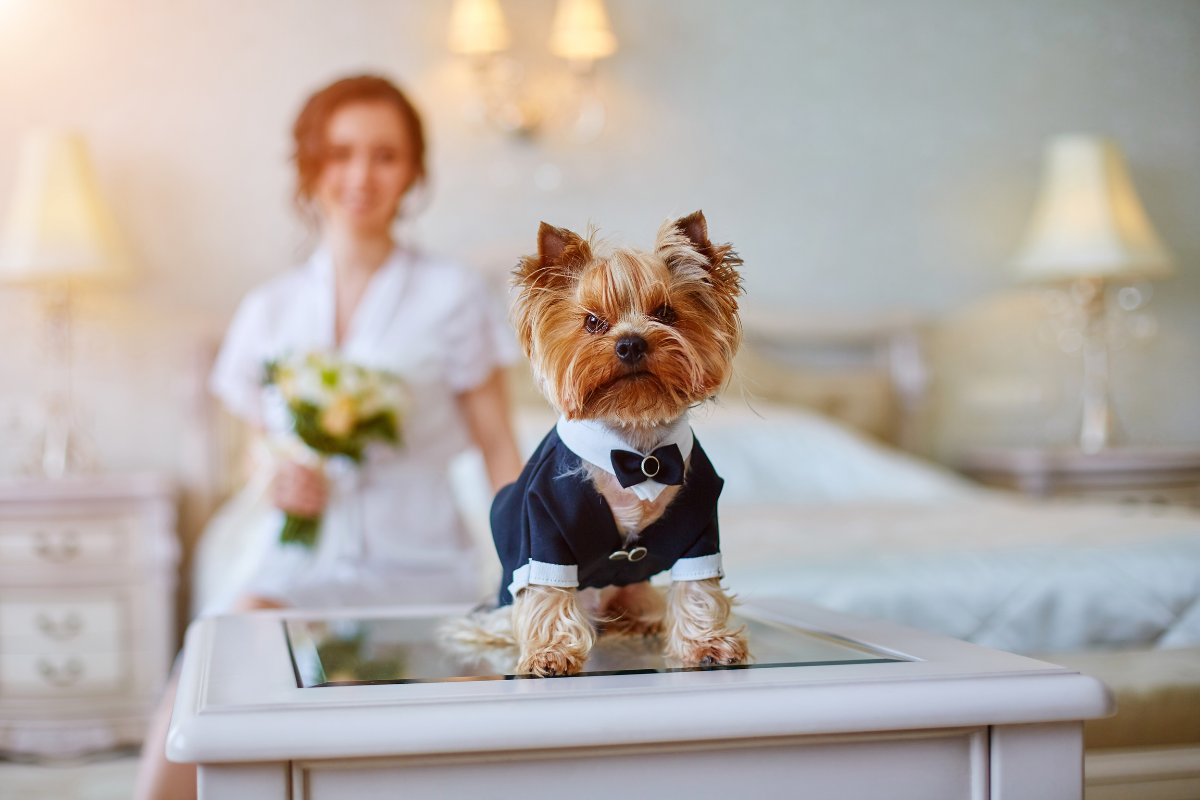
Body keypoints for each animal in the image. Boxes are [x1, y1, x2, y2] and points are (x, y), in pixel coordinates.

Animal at [451, 212, 748, 676]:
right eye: (593, 322)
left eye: (666, 313)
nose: (630, 343)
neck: (637, 450)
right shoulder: (544, 525)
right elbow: (547, 591)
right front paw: (550, 653)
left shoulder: (700, 521)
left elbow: (698, 585)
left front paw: (707, 643)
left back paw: (638, 620)